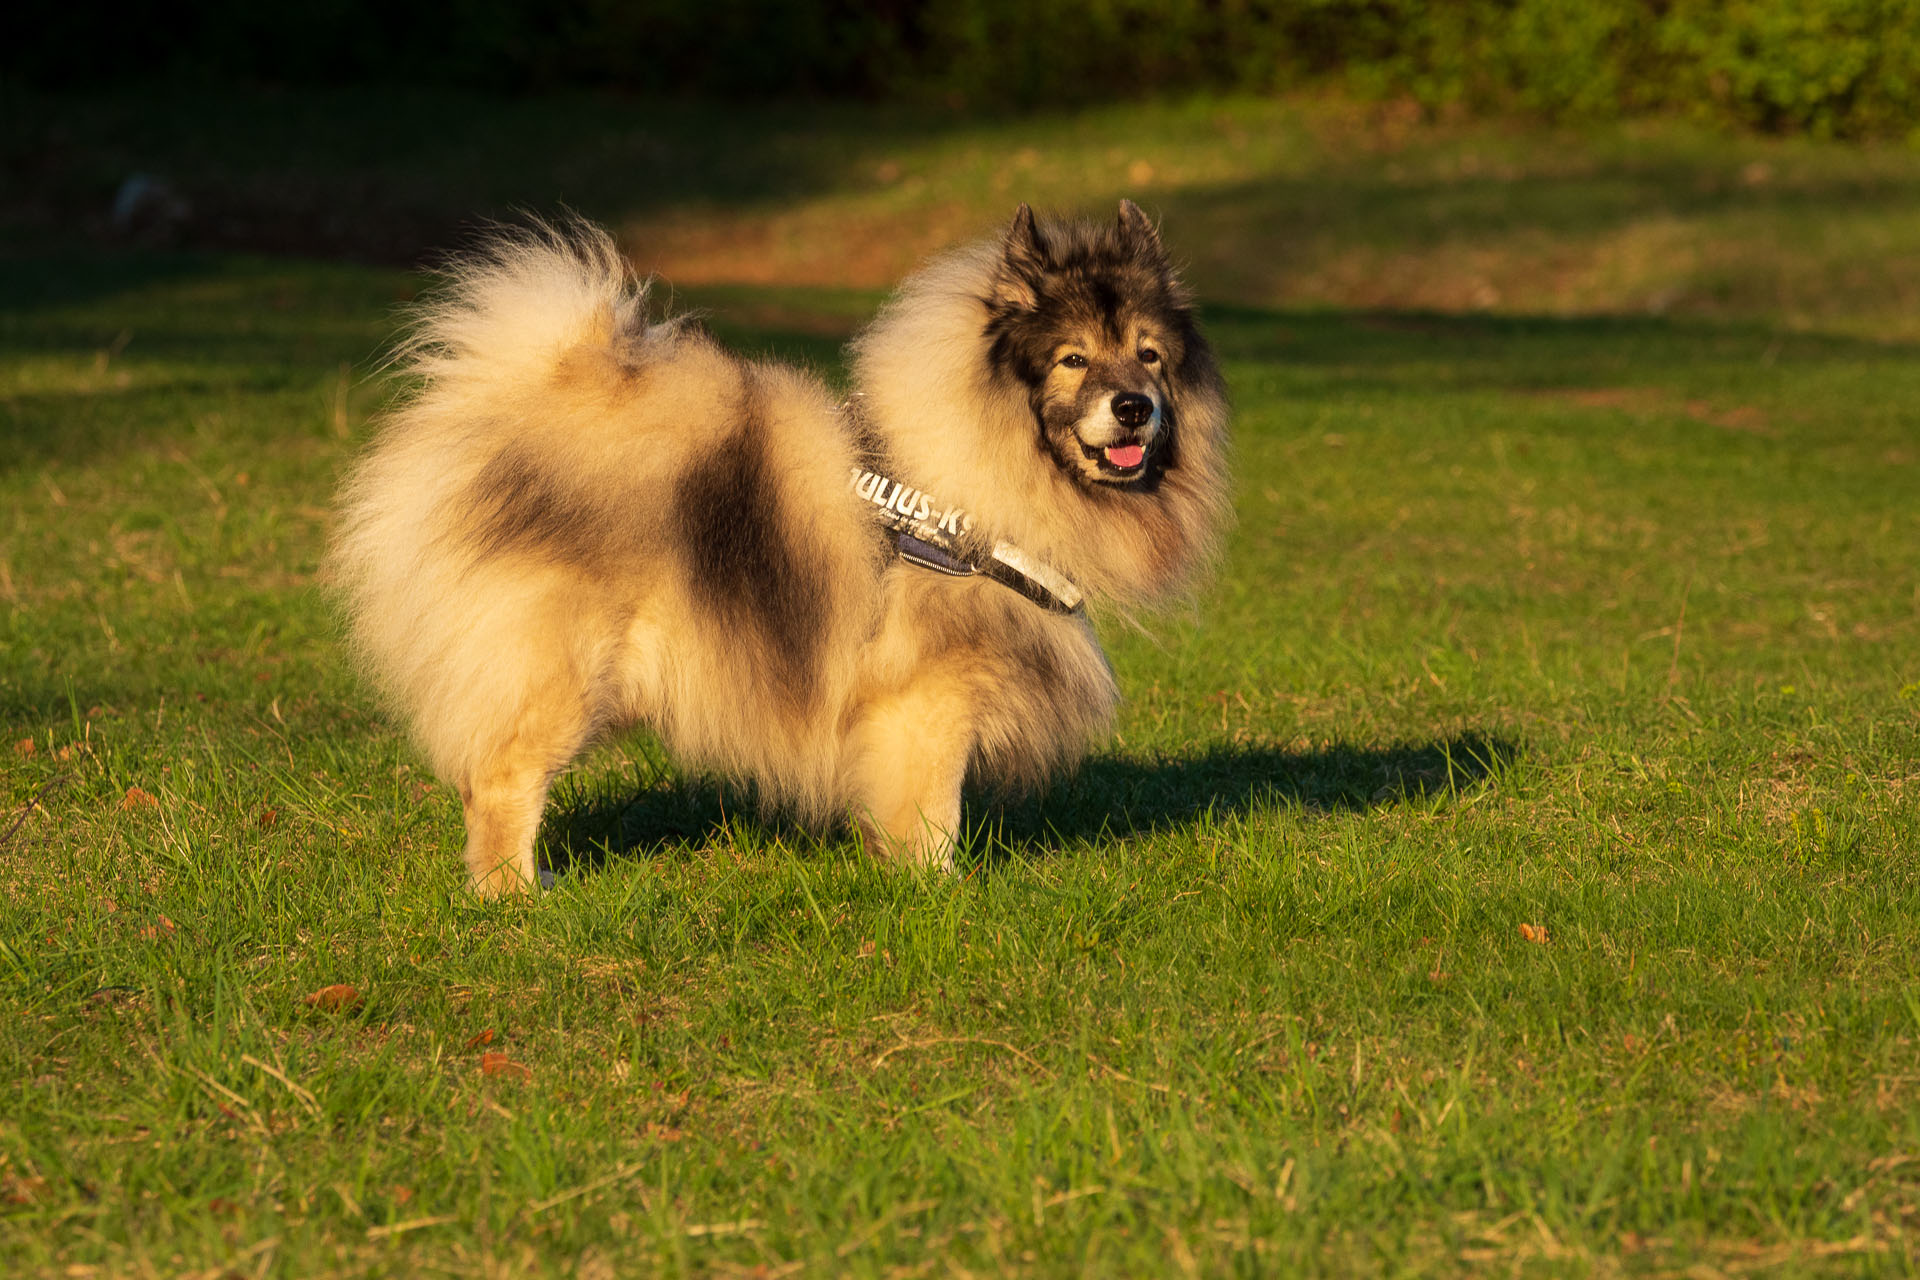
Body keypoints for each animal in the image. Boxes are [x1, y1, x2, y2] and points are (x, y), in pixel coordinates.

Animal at [330, 205, 1228, 898]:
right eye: (1073, 359)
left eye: (1149, 355)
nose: (1134, 407)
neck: (976, 478)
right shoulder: (929, 702)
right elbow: (933, 812)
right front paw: (941, 891)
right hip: (559, 675)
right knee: (502, 783)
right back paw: (514, 897)